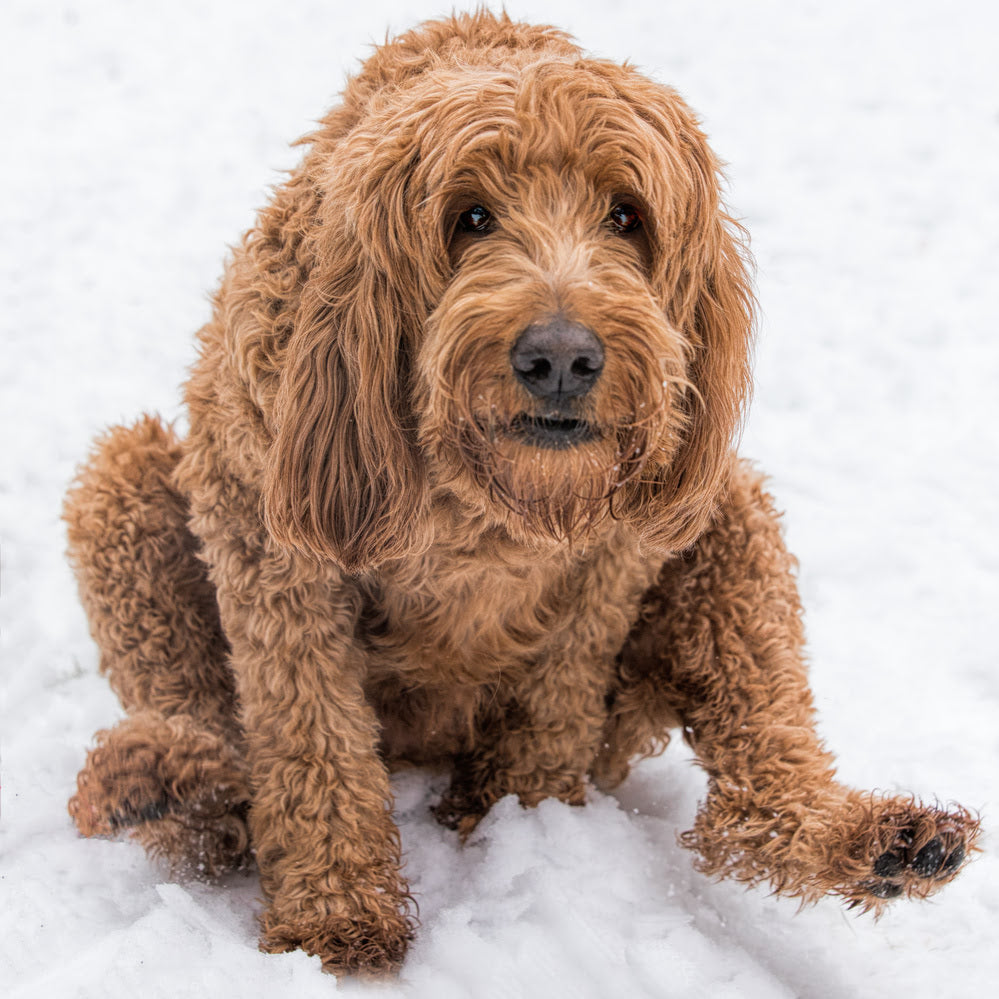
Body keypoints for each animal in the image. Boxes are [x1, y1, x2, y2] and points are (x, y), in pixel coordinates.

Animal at [66, 7, 980, 976]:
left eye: (626, 214)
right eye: (470, 217)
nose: (561, 357)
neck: (489, 498)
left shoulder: (615, 559)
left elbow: (554, 699)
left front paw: (521, 815)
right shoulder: (270, 536)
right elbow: (311, 735)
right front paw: (332, 915)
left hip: (726, 515)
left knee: (758, 765)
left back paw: (876, 839)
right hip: (122, 485)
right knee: (209, 736)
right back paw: (165, 786)